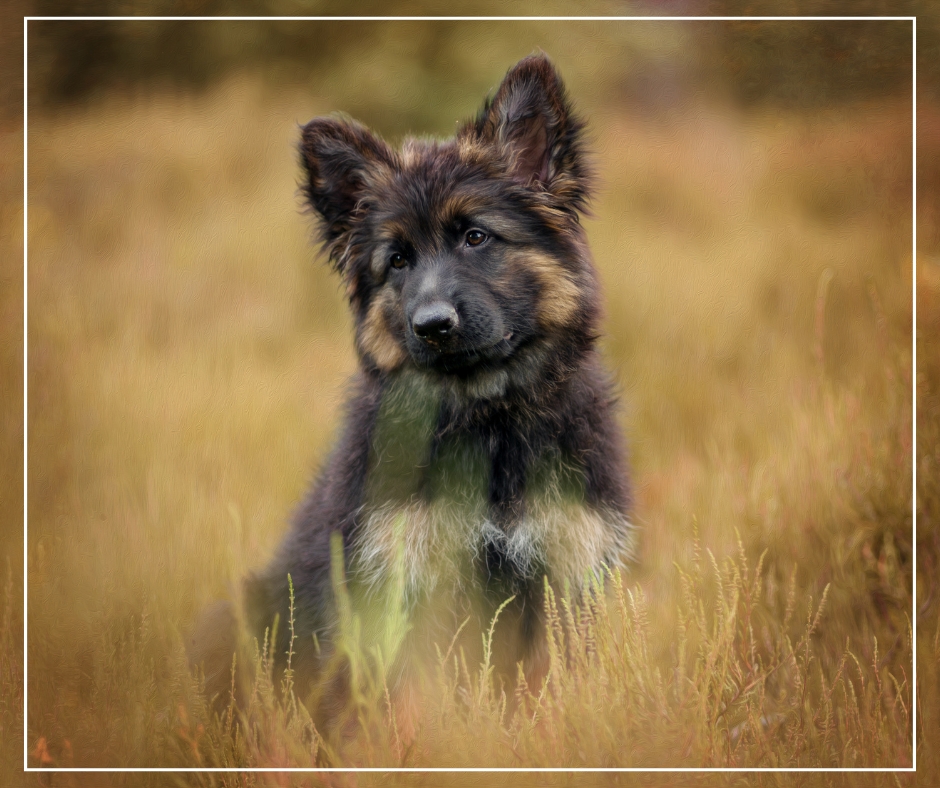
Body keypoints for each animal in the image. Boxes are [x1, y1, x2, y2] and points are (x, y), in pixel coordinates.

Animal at [188, 52, 636, 724]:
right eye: (397, 260)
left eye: (476, 237)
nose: (432, 325)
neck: (487, 420)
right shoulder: (406, 585)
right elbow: (414, 704)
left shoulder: (562, 577)